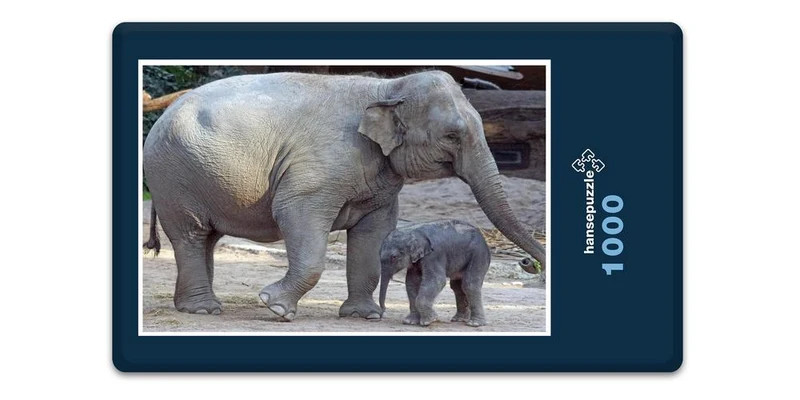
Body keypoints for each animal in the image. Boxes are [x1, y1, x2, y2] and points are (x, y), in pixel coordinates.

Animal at [142, 70, 547, 321]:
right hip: (174, 177)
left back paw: (196, 306)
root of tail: (161, 115)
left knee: (207, 239)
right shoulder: (318, 169)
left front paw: (363, 315)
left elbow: (374, 232)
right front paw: (275, 307)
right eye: (452, 135)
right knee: (192, 235)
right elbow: (295, 213)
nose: (530, 263)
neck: (387, 88)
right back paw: (203, 310)